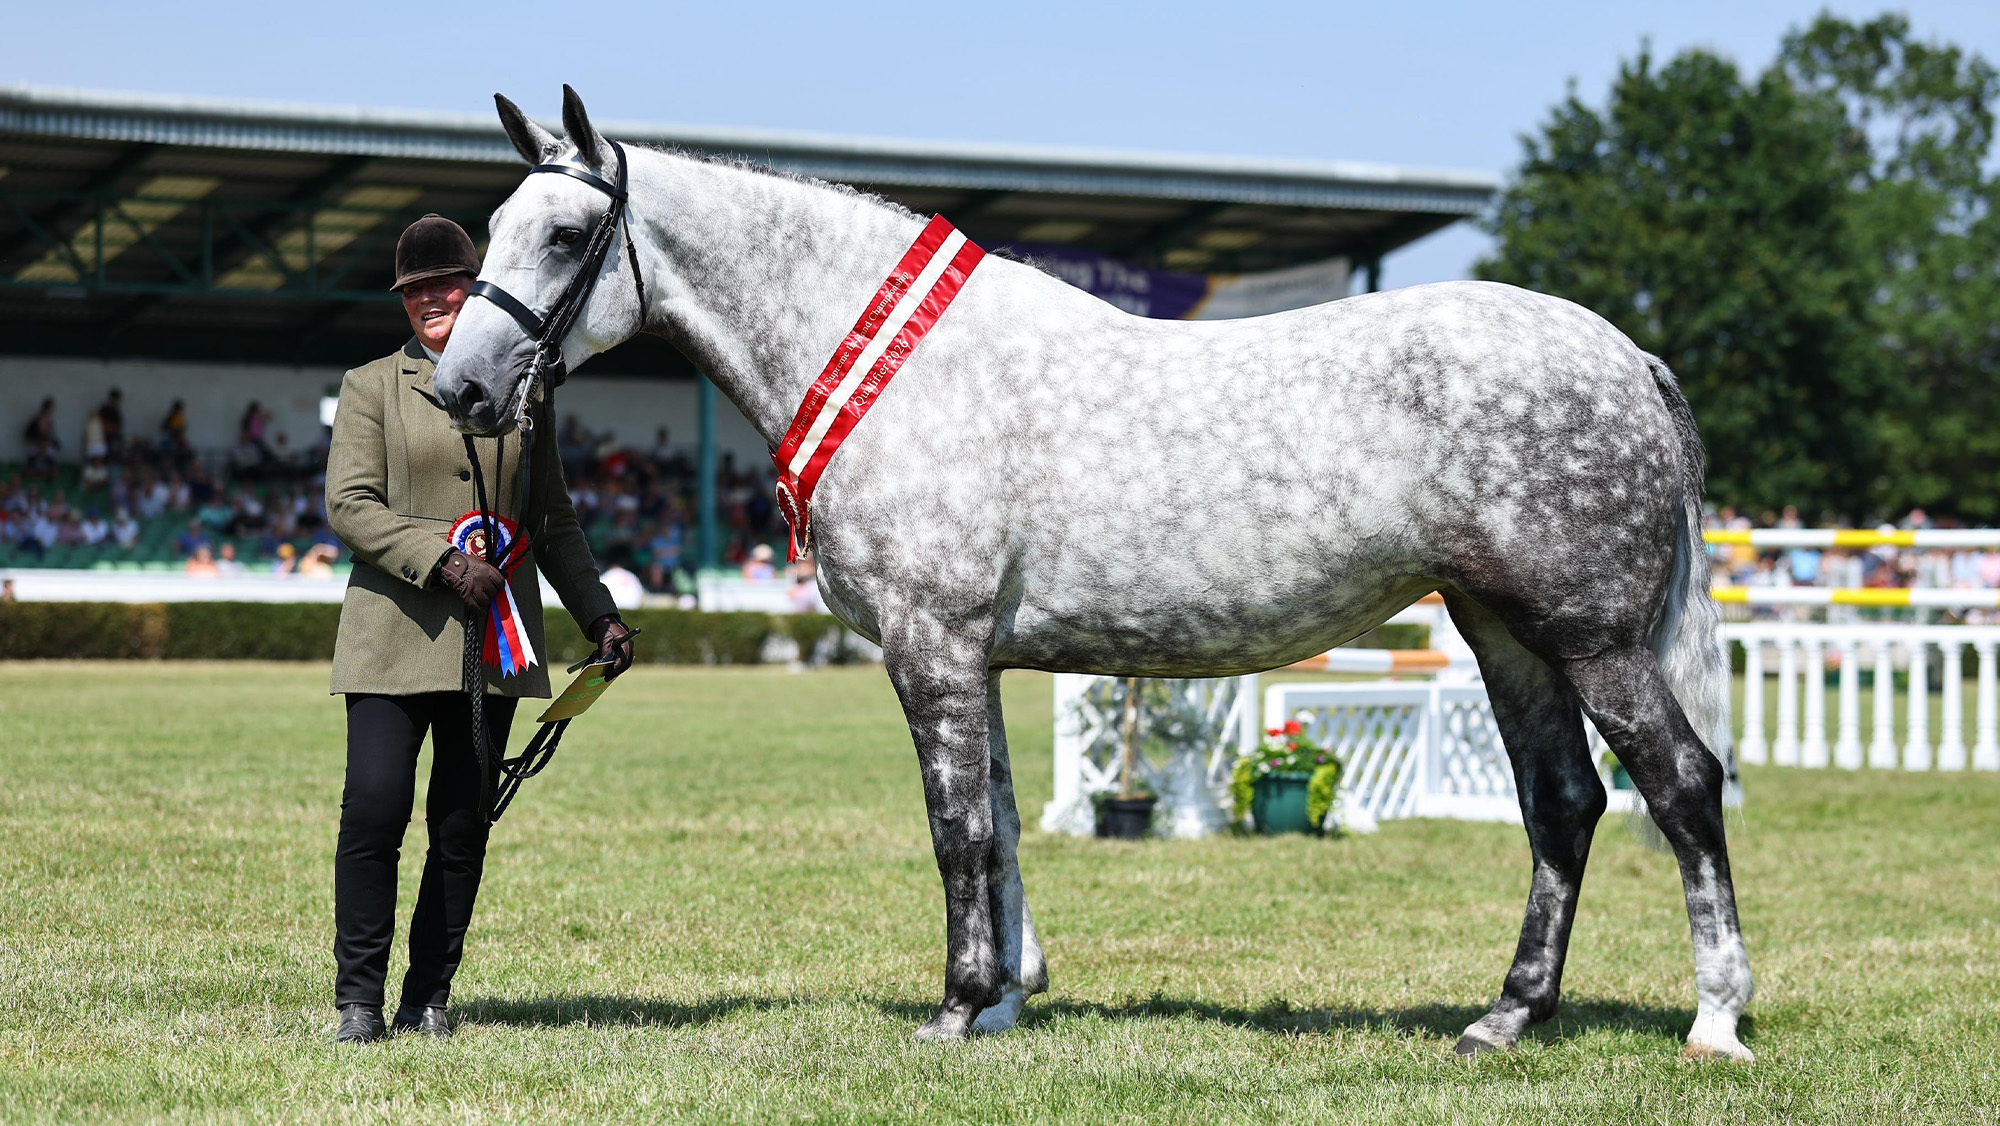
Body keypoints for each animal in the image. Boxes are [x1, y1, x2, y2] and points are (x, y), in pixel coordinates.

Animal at [433, 87, 1755, 1062]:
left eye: (563, 235)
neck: (895, 368)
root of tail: (1625, 355)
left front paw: (955, 1006)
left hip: (1588, 636)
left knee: (1681, 785)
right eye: (492, 229)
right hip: (1501, 630)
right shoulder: (973, 654)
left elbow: (956, 831)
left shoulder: (930, 642)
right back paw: (1505, 1015)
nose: (461, 388)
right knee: (1562, 804)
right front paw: (1007, 999)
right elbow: (1005, 823)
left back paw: (1715, 1018)